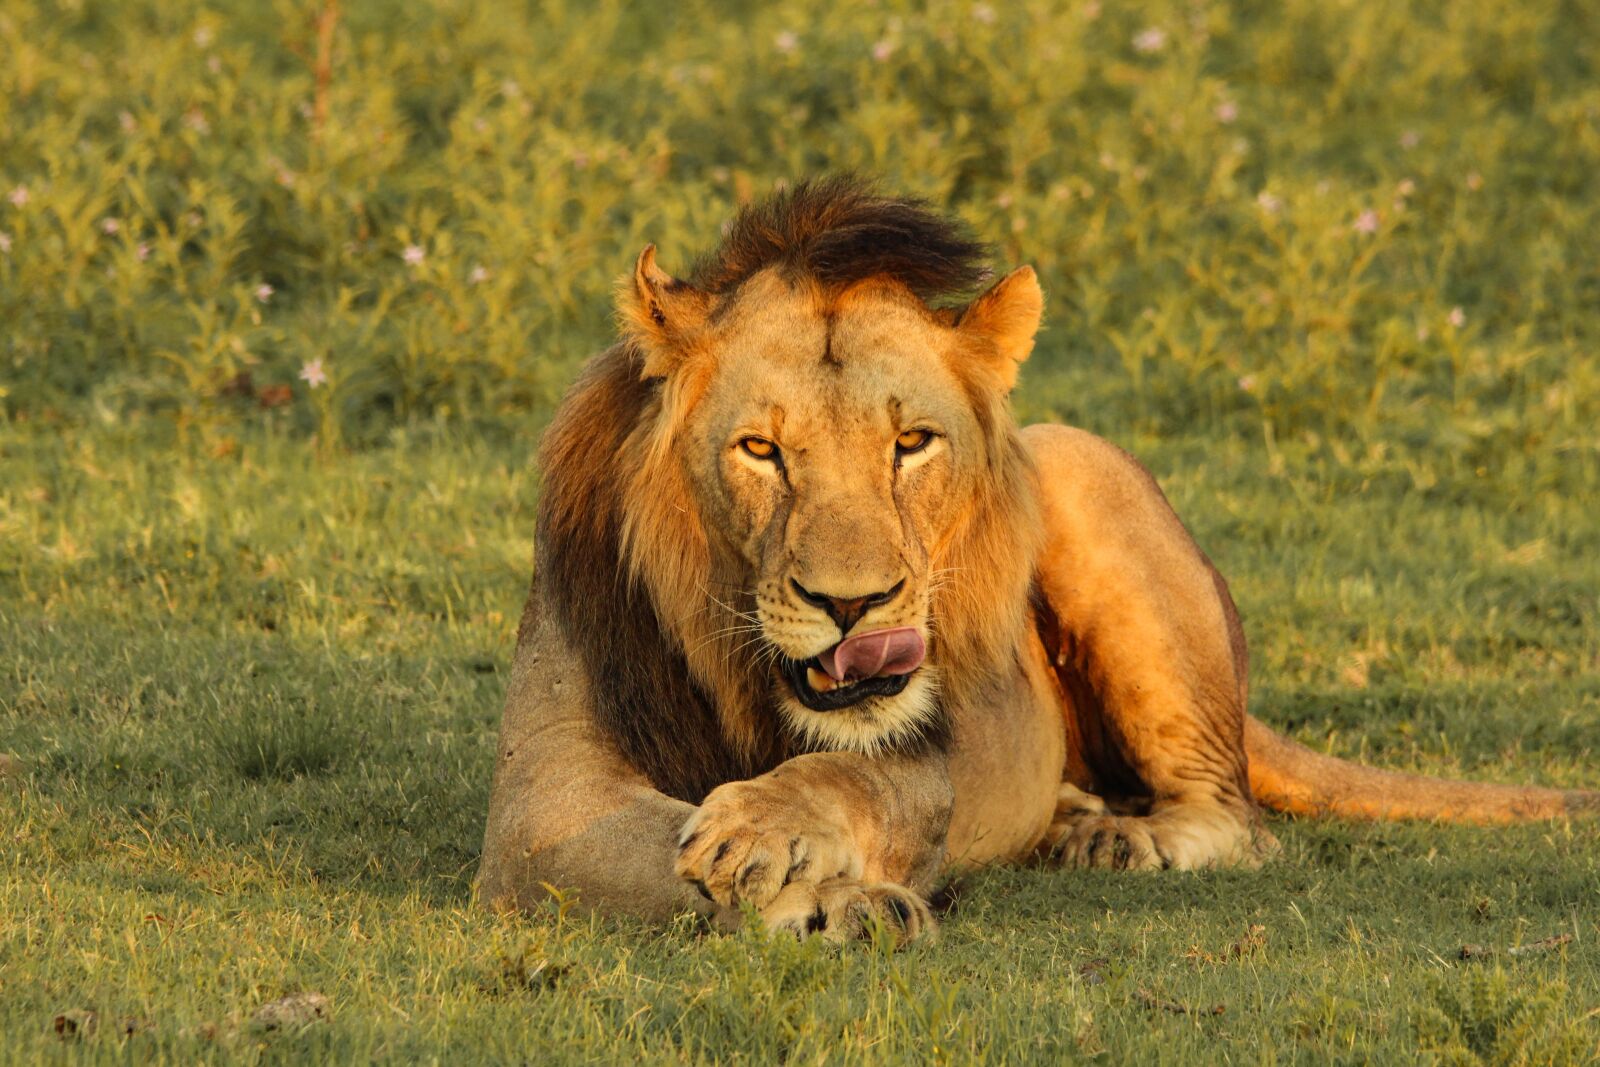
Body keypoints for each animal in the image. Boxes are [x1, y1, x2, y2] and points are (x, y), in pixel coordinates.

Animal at [477, 178, 1597, 940]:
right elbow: (647, 856)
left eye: (910, 444)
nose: (855, 606)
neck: (741, 675)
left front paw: (768, 833)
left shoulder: (930, 742)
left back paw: (1121, 839)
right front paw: (824, 896)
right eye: (761, 449)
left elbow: (857, 779)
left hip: (1079, 469)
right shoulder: (545, 807)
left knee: (1238, 817)